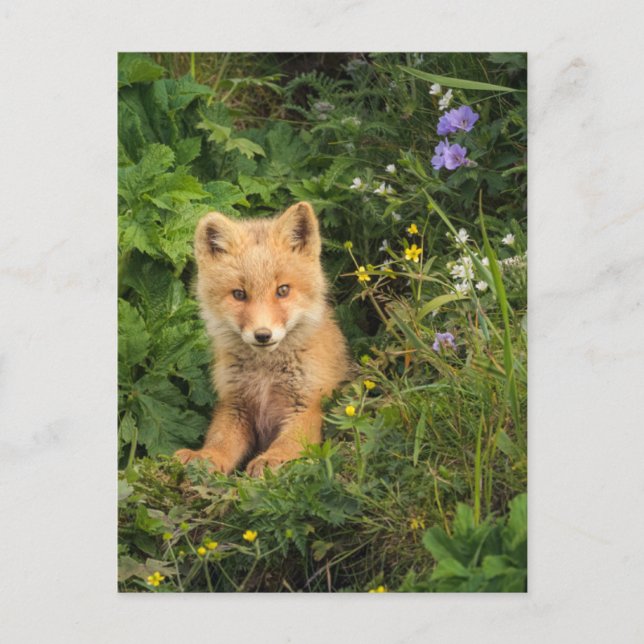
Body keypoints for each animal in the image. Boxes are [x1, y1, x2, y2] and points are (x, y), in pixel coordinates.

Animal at [175, 201, 351, 477]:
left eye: (283, 290)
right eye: (239, 294)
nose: (263, 335)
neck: (265, 375)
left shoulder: (307, 406)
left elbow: (289, 443)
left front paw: (272, 459)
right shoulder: (234, 406)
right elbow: (220, 442)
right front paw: (205, 457)